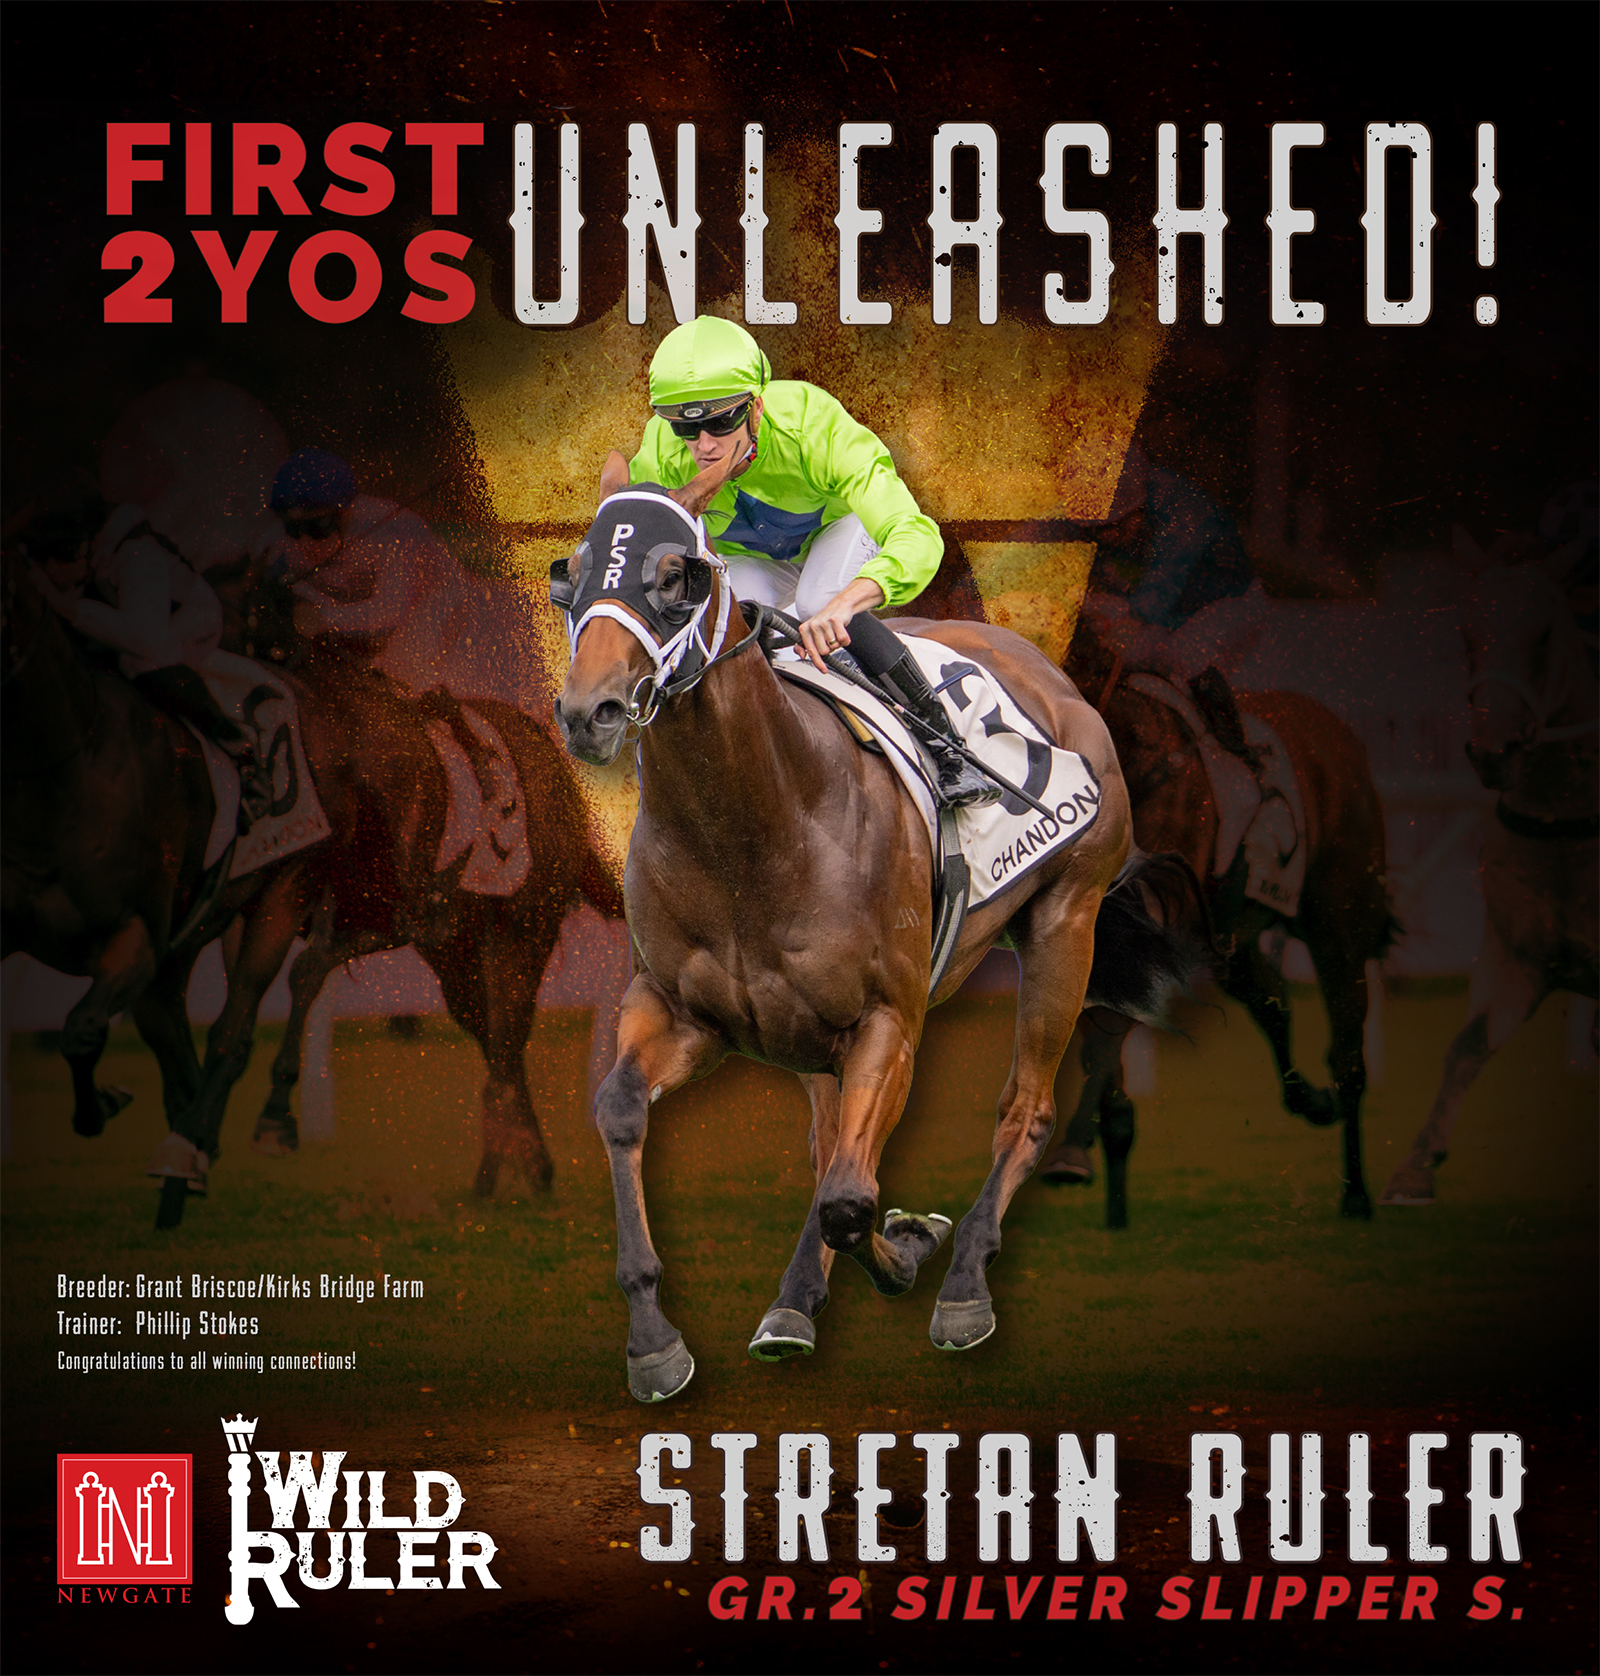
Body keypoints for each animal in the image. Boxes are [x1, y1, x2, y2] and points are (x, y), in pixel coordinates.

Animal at [552, 477, 1213, 1402]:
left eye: (676, 576)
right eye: (569, 577)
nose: (592, 712)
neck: (756, 824)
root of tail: (1051, 671)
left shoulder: (888, 1023)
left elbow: (850, 1197)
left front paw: (911, 1248)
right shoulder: (688, 1013)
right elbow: (621, 1111)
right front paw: (654, 1339)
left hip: (1066, 921)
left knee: (1024, 1112)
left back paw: (964, 1282)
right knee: (834, 1144)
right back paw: (798, 1301)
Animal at [1039, 610, 1398, 1222]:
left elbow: (1108, 1036)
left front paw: (1071, 1153)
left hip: (1340, 922)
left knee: (1349, 1056)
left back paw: (1355, 1190)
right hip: (1238, 936)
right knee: (1272, 1000)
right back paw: (1311, 1100)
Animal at [1381, 554, 1598, 1204]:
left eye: (1545, 634)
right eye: (1468, 633)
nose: (1490, 750)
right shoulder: (1519, 957)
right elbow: (1468, 1045)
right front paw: (1415, 1168)